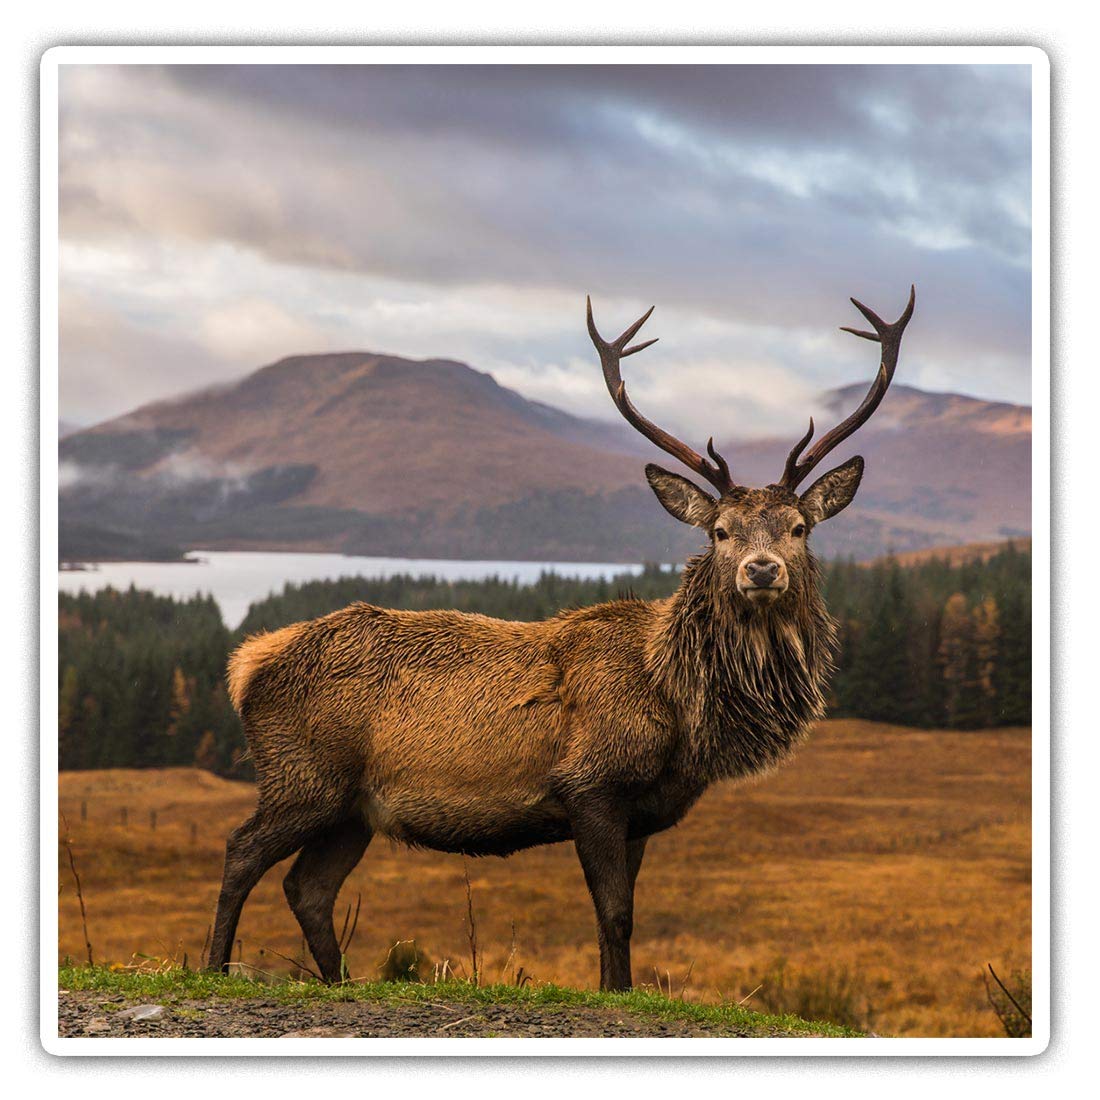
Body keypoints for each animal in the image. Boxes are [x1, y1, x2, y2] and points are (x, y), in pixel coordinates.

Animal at [207, 286, 915, 992]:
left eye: (799, 528)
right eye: (720, 532)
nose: (761, 570)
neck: (679, 707)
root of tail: (247, 664)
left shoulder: (642, 811)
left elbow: (621, 915)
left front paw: (615, 987)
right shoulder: (590, 783)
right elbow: (615, 912)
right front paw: (617, 989)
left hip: (352, 809)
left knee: (308, 888)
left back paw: (339, 981)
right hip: (303, 775)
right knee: (241, 851)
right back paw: (215, 967)